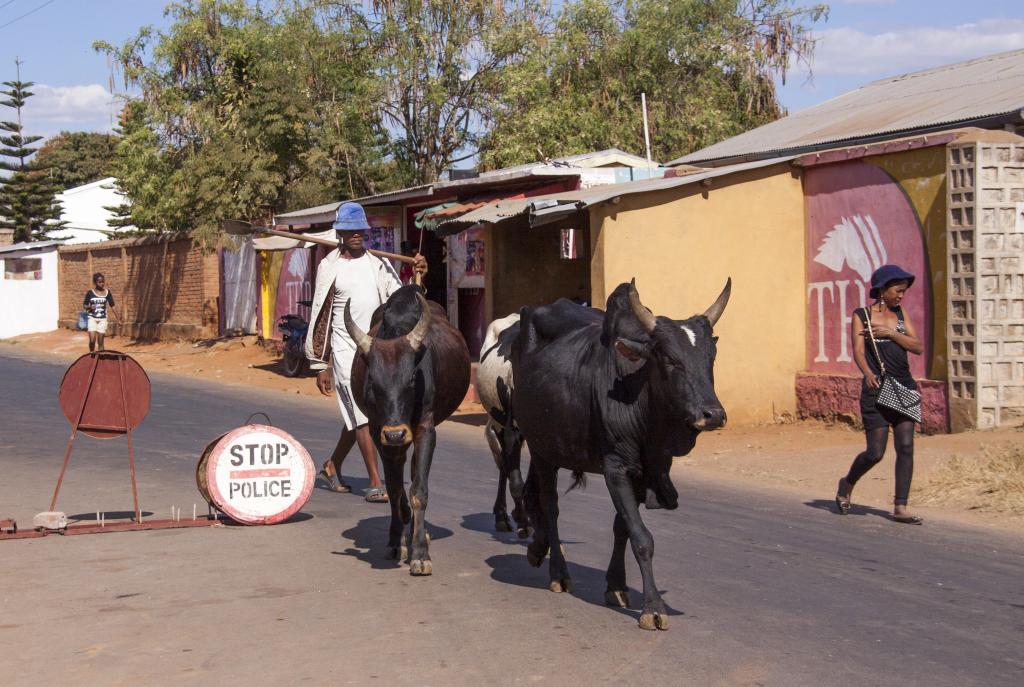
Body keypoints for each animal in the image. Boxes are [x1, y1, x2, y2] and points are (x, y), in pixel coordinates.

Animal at [346, 284, 468, 573]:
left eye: (412, 378)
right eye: (373, 380)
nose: (396, 433)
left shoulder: (425, 430)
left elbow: (418, 491)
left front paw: (420, 552)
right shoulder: (379, 432)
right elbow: (393, 489)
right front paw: (396, 541)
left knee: (413, 474)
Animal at [512, 278, 729, 630]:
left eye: (710, 357)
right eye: (669, 358)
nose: (712, 414)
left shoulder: (645, 474)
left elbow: (622, 527)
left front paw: (615, 586)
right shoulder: (616, 469)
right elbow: (642, 538)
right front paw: (653, 608)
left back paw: (537, 549)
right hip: (541, 447)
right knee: (550, 505)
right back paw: (558, 571)